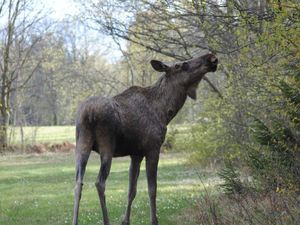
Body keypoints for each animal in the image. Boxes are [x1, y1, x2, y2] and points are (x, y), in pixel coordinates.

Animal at [72, 53, 218, 225]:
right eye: (180, 65)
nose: (211, 58)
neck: (165, 112)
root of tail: (89, 114)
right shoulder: (152, 149)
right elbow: (152, 189)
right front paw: (154, 220)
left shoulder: (136, 154)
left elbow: (131, 190)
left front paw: (125, 221)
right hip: (107, 146)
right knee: (99, 182)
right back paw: (106, 221)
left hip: (81, 144)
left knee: (78, 183)